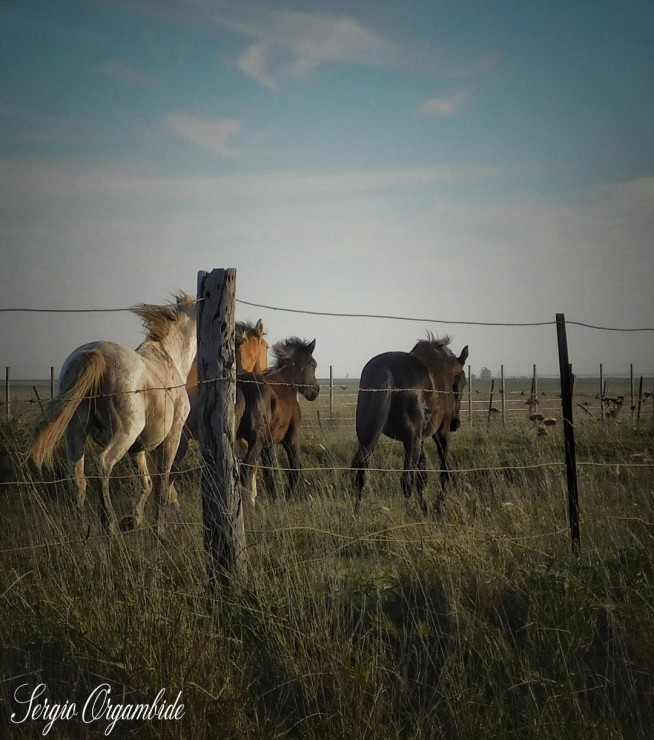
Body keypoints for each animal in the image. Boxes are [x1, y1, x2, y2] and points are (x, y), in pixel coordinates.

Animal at [29, 292, 197, 536]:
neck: (169, 361)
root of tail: (96, 353)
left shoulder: (137, 449)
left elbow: (146, 483)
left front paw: (134, 520)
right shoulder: (172, 437)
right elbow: (161, 483)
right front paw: (158, 529)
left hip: (76, 431)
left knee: (78, 477)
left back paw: (84, 530)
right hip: (125, 432)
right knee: (103, 464)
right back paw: (109, 525)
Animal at [352, 336, 468, 516]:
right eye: (461, 383)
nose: (456, 423)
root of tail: (386, 370)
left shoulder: (421, 439)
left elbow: (423, 477)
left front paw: (427, 506)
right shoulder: (439, 433)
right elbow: (445, 470)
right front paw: (439, 504)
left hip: (368, 437)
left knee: (361, 474)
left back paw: (357, 514)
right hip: (410, 441)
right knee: (406, 481)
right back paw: (411, 512)